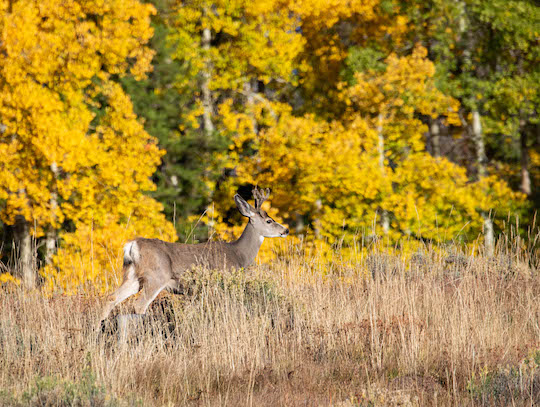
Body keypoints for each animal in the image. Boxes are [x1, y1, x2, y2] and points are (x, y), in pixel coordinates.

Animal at [98, 188, 288, 328]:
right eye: (269, 221)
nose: (285, 230)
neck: (239, 254)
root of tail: (132, 245)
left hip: (133, 277)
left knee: (110, 298)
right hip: (156, 276)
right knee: (139, 305)